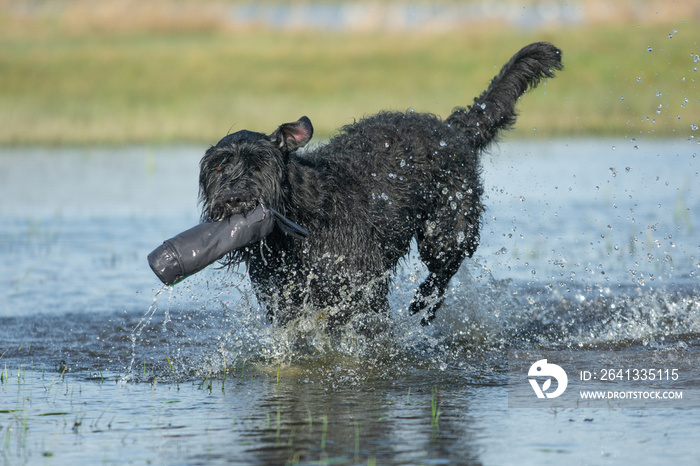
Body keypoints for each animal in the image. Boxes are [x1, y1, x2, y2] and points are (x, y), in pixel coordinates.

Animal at [200, 41, 560, 332]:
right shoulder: (284, 301)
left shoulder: (362, 290)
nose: (233, 201)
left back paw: (424, 302)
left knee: (446, 266)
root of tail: (453, 130)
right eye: (218, 167)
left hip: (446, 227)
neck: (301, 220)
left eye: (260, 164)